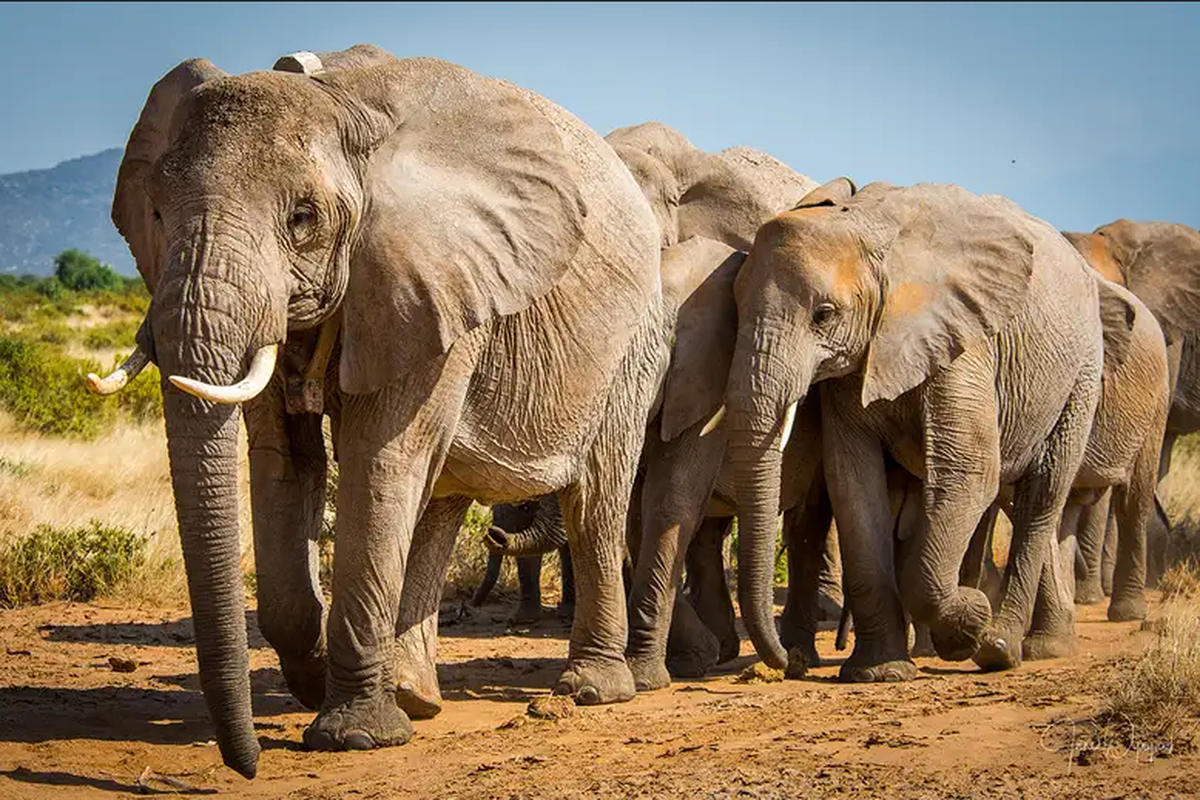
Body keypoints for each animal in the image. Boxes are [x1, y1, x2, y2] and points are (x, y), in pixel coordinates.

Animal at [91, 43, 676, 777]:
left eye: (303, 218)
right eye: (157, 214)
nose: (246, 764)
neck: (337, 105)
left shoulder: (435, 279)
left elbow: (380, 458)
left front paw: (354, 736)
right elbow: (284, 461)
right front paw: (316, 678)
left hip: (633, 344)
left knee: (594, 496)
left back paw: (591, 690)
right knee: (441, 499)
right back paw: (415, 695)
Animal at [715, 176, 1108, 681]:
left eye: (824, 314)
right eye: (735, 311)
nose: (792, 664)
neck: (865, 228)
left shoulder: (962, 339)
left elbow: (969, 469)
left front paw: (970, 620)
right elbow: (853, 483)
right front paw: (879, 673)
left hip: (1082, 372)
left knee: (1041, 496)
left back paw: (1000, 649)